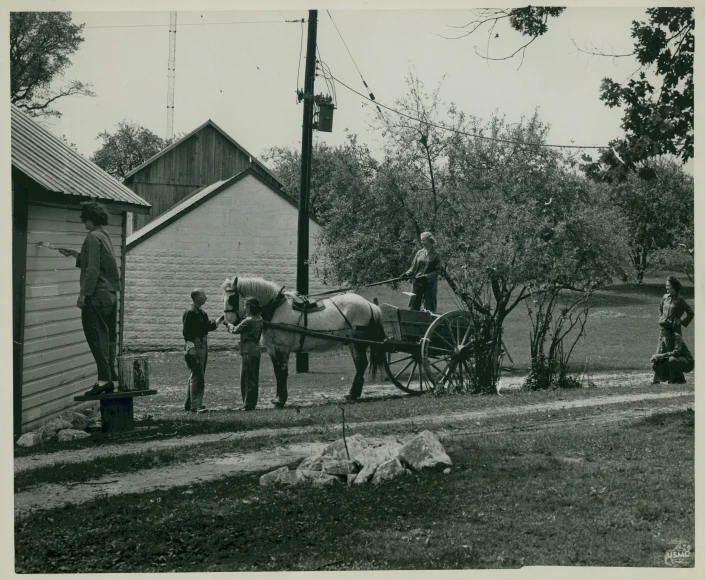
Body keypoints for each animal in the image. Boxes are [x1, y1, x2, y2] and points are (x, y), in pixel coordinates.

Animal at [220, 278, 384, 408]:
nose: (227, 322)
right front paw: (277, 398)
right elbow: (277, 373)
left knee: (361, 363)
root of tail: (370, 305)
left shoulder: (282, 349)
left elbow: (282, 373)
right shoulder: (273, 349)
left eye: (232, 298)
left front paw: (280, 400)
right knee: (359, 363)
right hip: (352, 342)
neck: (275, 309)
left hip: (358, 341)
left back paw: (353, 393)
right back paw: (353, 393)